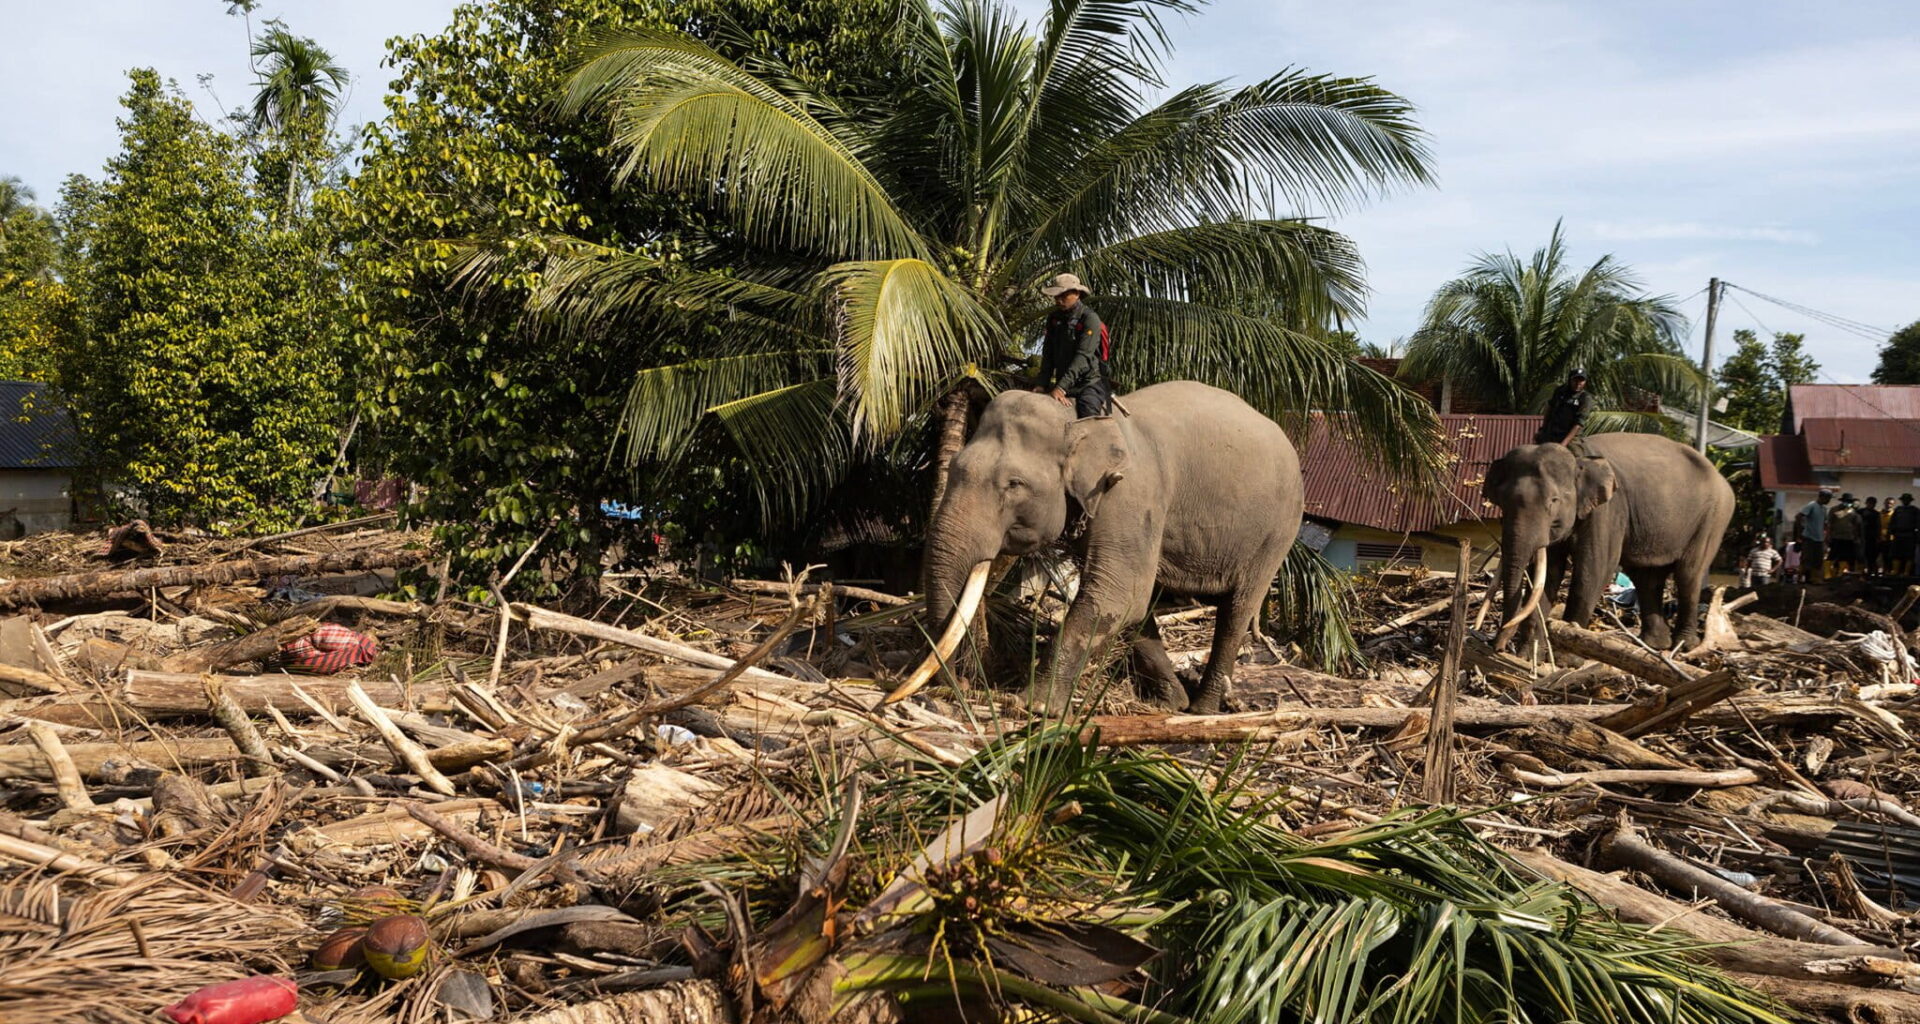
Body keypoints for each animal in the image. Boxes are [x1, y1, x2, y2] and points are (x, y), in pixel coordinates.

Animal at [916, 381, 1303, 714]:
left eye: (1014, 484)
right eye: (953, 467)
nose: (960, 685)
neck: (1078, 418)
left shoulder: (1130, 495)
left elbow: (1120, 593)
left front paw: (1034, 705)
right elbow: (1128, 602)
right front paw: (1167, 704)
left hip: (1277, 533)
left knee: (1236, 611)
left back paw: (1202, 710)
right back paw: (1174, 704)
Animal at [1483, 433, 1733, 651]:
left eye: (1553, 500)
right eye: (1501, 501)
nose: (1497, 647)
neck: (1577, 457)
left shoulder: (1608, 511)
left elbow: (1594, 570)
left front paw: (1568, 657)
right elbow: (1548, 574)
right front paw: (1527, 657)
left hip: (1713, 518)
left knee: (1688, 574)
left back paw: (1684, 646)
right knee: (1647, 577)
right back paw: (1654, 645)